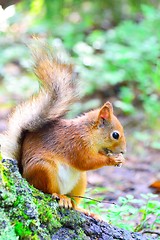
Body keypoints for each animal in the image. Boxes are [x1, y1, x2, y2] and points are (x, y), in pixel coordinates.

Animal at [0, 41, 126, 214]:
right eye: (115, 135)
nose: (123, 151)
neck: (88, 133)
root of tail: (23, 173)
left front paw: (120, 159)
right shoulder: (76, 144)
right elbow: (86, 162)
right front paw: (112, 159)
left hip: (80, 180)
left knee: (75, 201)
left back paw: (84, 210)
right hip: (44, 169)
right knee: (48, 190)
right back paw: (60, 196)